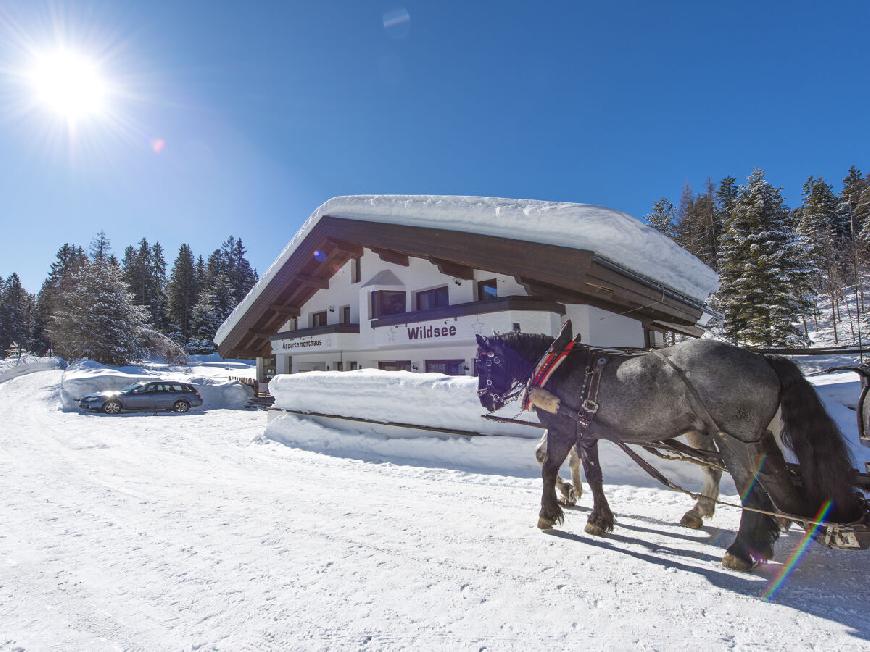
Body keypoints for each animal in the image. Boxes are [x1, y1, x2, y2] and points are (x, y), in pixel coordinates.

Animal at [476, 332, 864, 572]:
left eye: (485, 363)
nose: (484, 399)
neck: (558, 366)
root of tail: (763, 358)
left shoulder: (561, 428)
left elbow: (549, 467)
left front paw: (549, 513)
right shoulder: (586, 432)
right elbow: (594, 474)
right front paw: (598, 518)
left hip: (732, 439)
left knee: (748, 488)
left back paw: (741, 550)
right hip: (753, 439)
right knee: (772, 479)